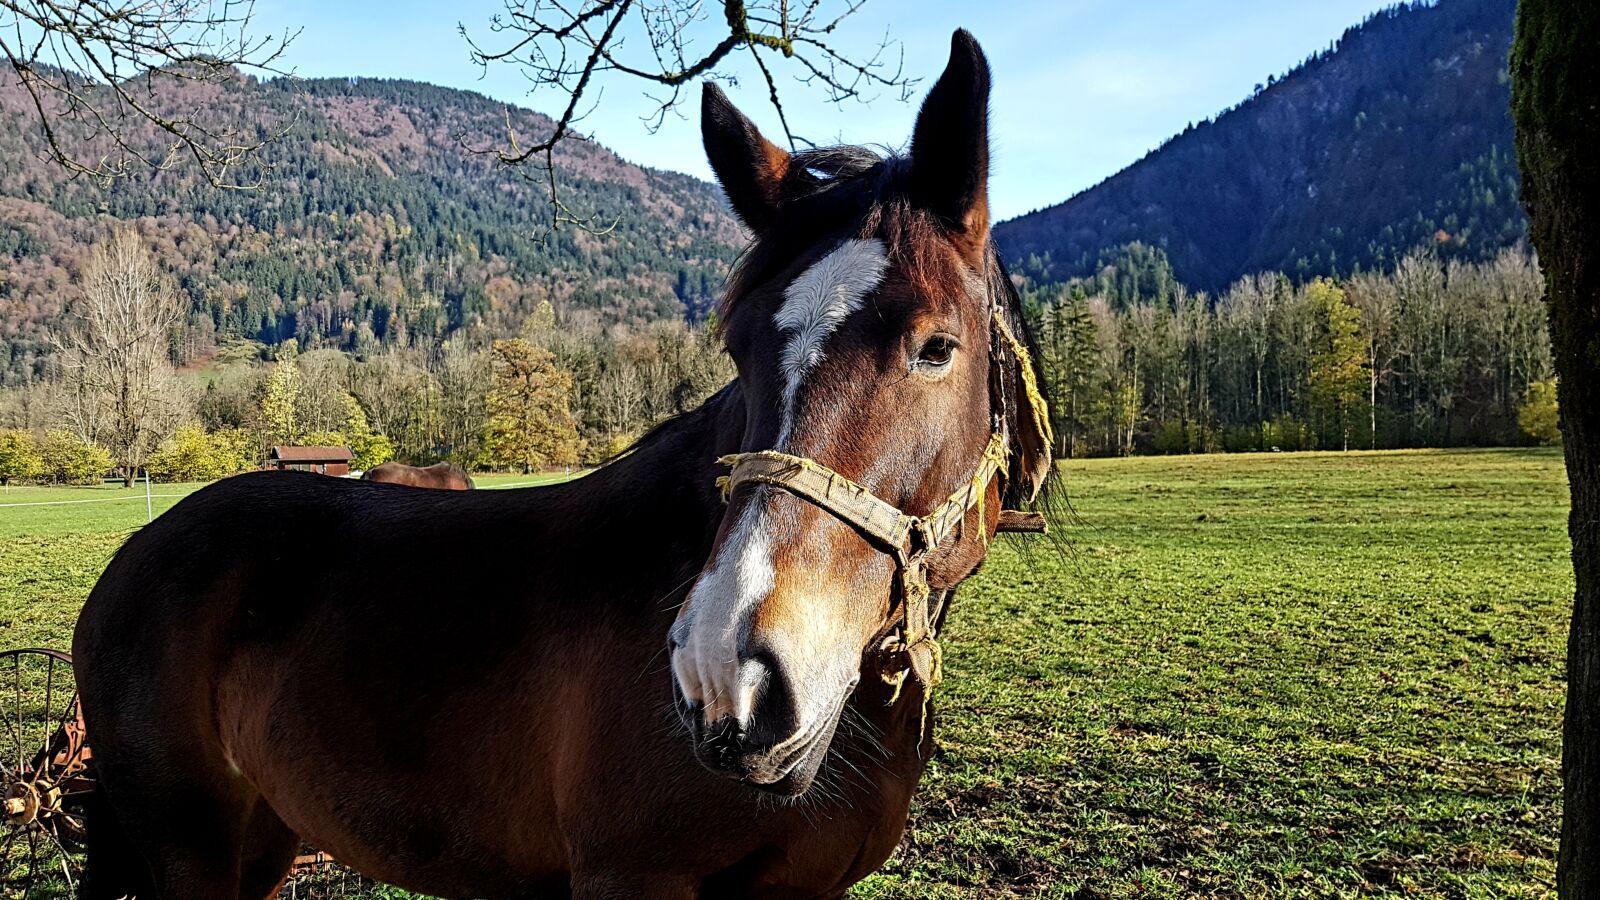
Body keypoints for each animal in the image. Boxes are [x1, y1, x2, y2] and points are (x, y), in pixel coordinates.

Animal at [71, 30, 1053, 899]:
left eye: (936, 347)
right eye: (738, 348)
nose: (727, 676)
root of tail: (137, 554)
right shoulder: (632, 875)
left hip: (266, 840)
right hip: (193, 851)